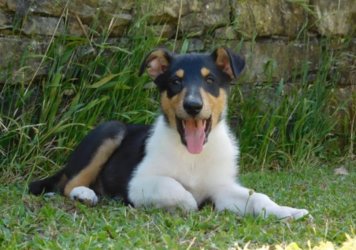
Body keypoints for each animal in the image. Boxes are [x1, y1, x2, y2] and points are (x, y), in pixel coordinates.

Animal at [29, 47, 308, 219]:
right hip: (111, 129)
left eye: (210, 80)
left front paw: (288, 211)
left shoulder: (222, 187)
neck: (193, 155)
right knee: (67, 184)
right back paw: (86, 194)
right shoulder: (138, 182)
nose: (193, 106)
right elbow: (176, 189)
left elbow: (257, 196)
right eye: (175, 81)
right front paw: (187, 203)